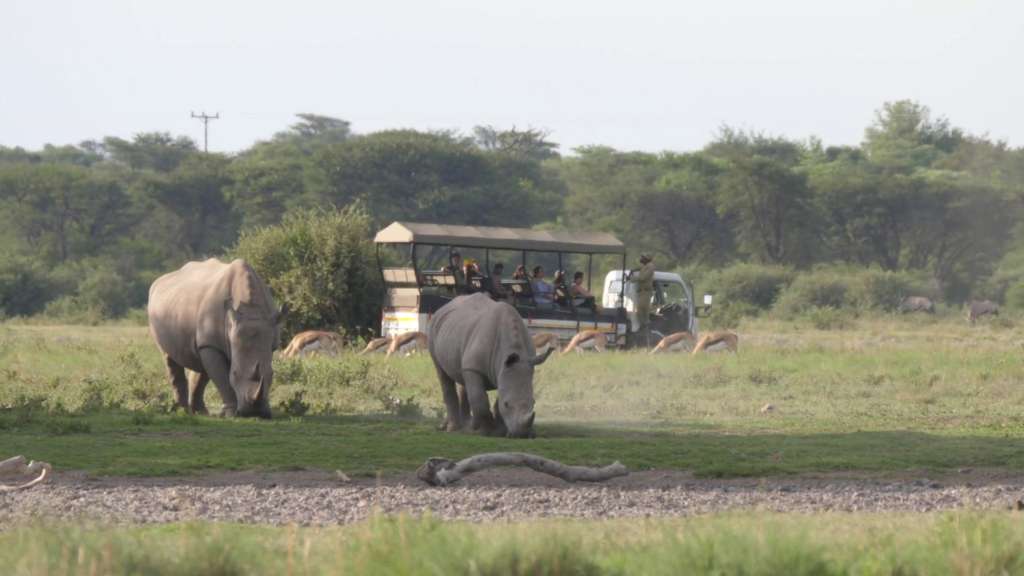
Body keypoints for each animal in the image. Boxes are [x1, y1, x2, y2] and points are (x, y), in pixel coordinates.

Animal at [148, 259, 287, 419]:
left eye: (272, 374)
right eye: (235, 374)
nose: (255, 413)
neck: (251, 310)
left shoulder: (271, 341)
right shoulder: (212, 344)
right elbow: (222, 378)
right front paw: (230, 414)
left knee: (200, 361)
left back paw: (200, 412)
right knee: (169, 357)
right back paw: (180, 410)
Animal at [428, 293, 553, 438]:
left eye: (534, 403)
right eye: (506, 404)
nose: (522, 434)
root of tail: (446, 306)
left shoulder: (506, 369)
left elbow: (495, 401)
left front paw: (500, 431)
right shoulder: (480, 367)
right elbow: (480, 399)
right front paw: (487, 430)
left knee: (463, 376)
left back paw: (469, 426)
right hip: (434, 329)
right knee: (443, 374)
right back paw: (454, 428)